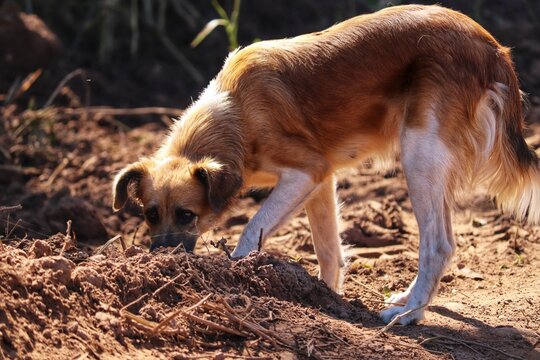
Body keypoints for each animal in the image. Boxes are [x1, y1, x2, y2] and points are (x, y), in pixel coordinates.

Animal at [113, 4, 540, 324]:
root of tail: (492, 48)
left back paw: (410, 314)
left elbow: (251, 232)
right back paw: (408, 303)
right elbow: (329, 251)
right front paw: (324, 297)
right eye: (150, 215)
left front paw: (240, 276)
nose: (161, 260)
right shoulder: (320, 180)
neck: (236, 113)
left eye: (186, 215)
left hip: (420, 154)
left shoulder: (305, 171)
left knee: (438, 245)